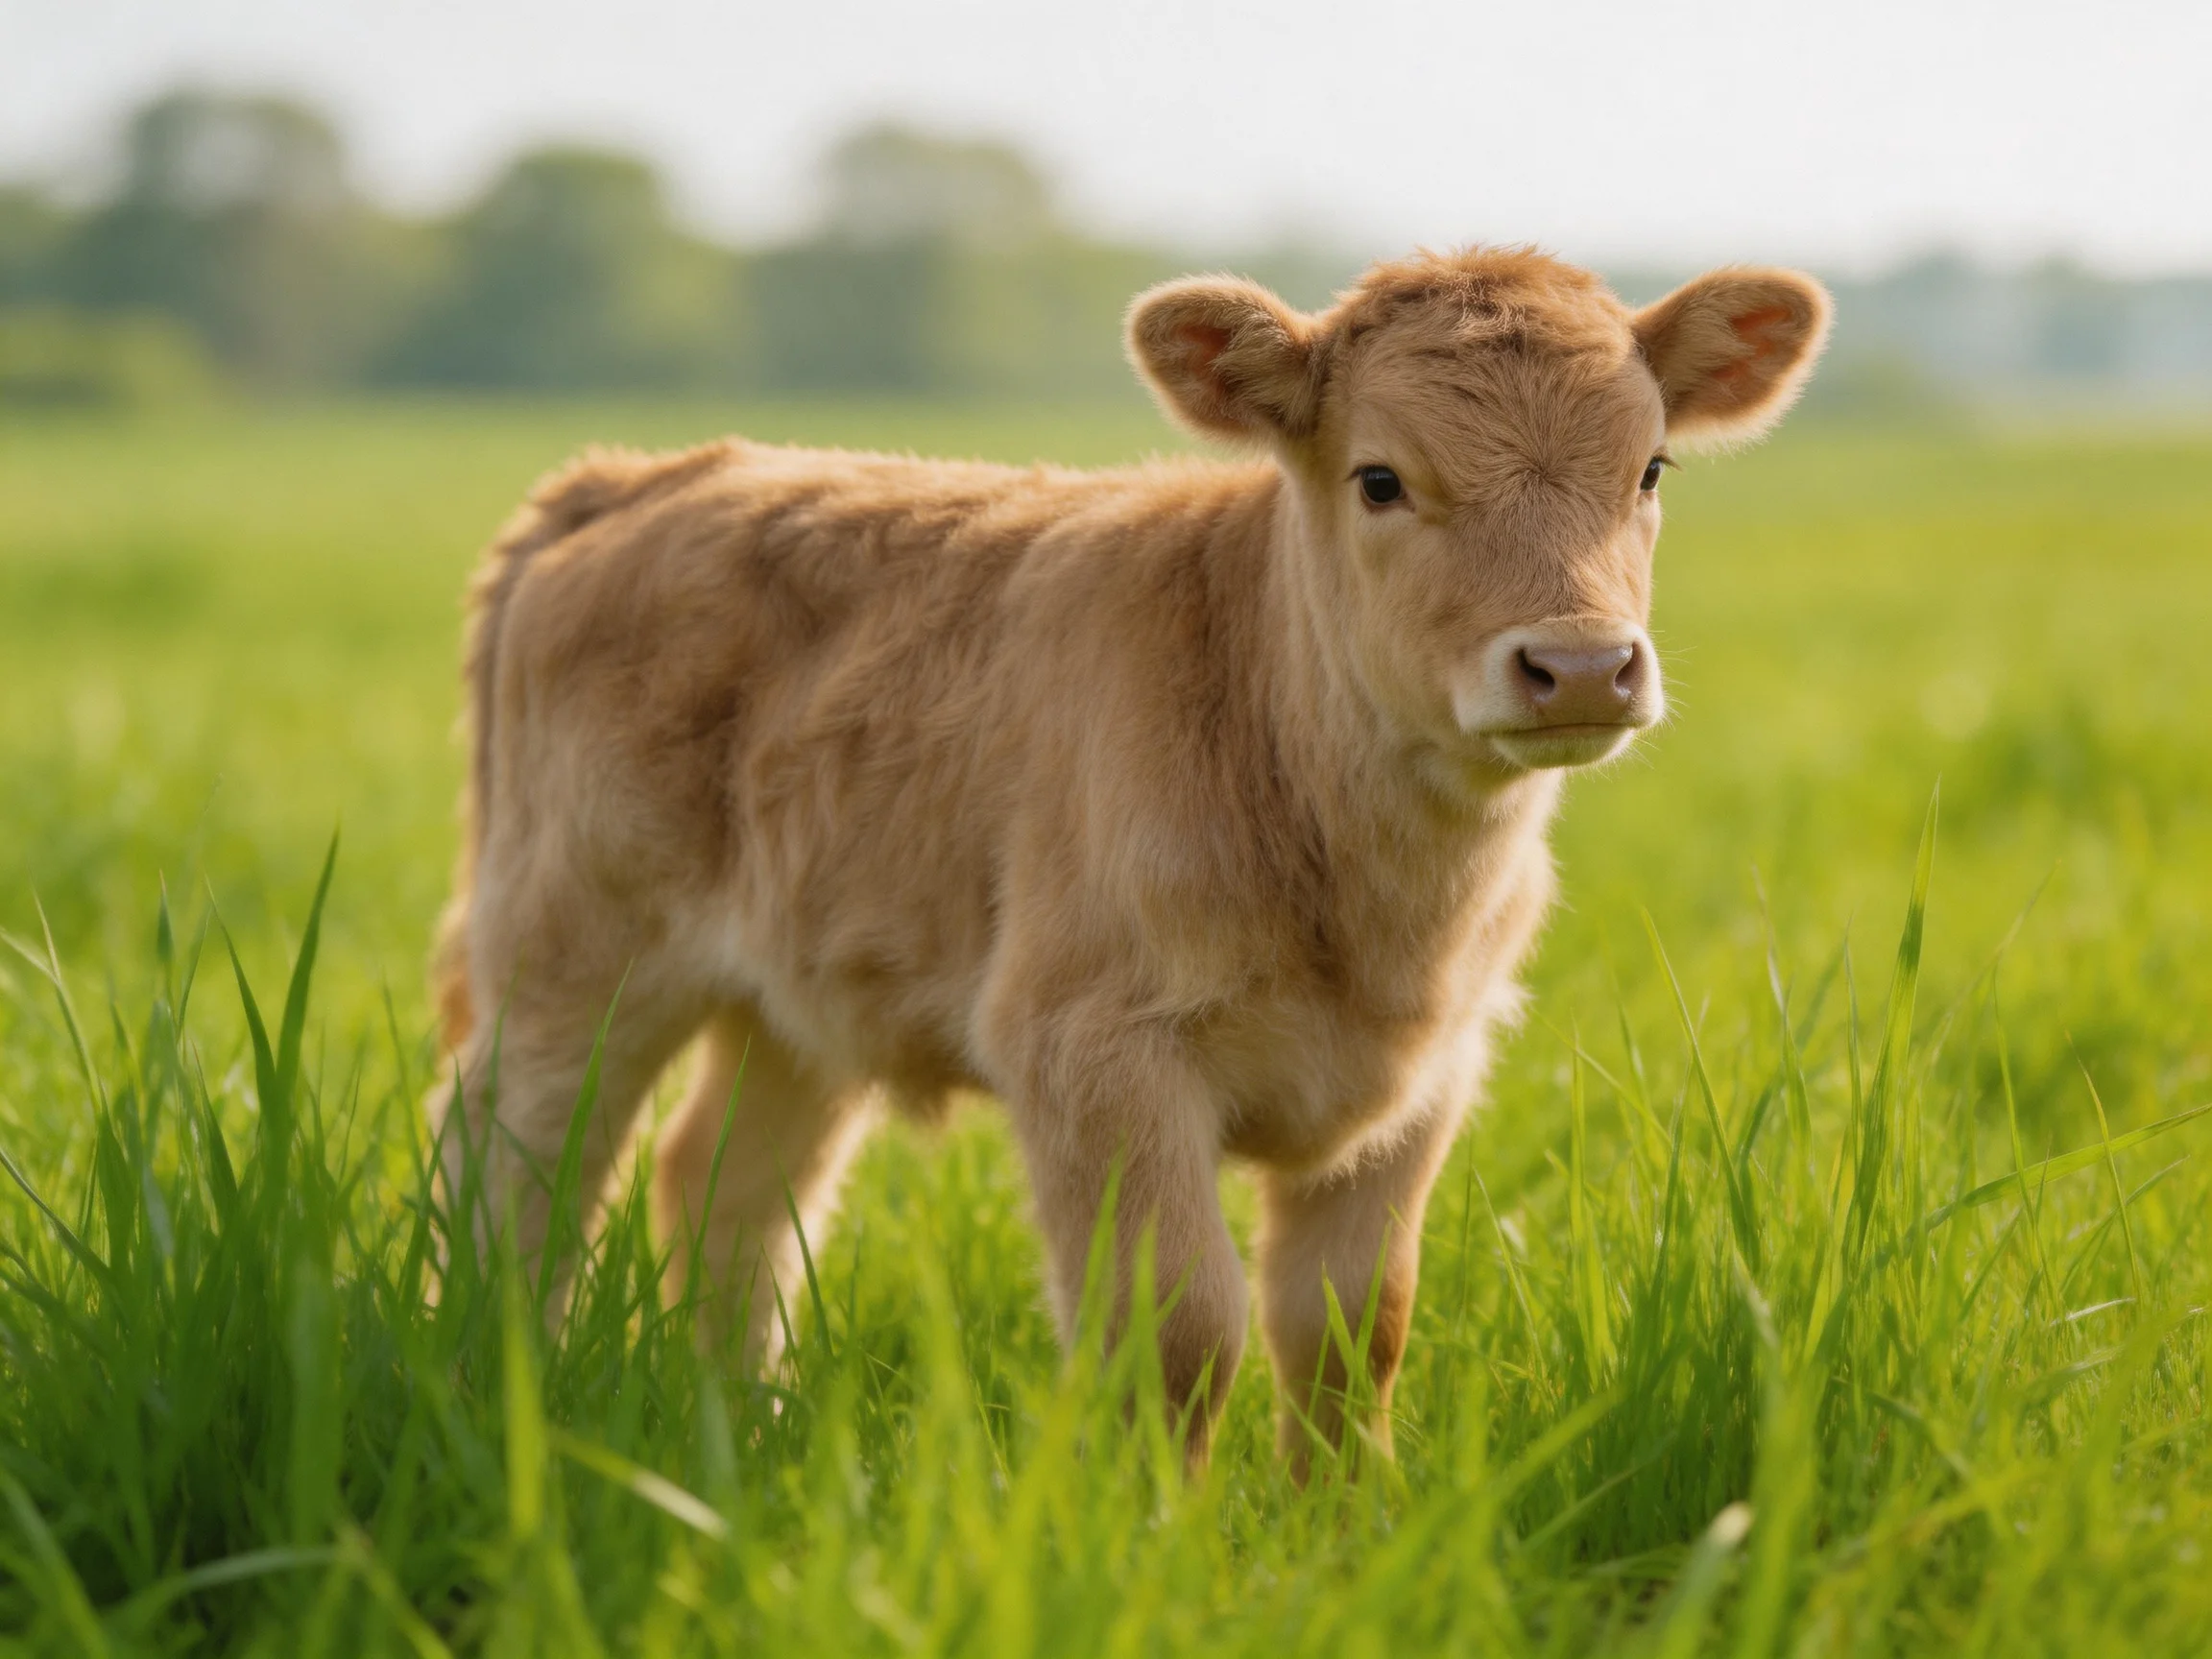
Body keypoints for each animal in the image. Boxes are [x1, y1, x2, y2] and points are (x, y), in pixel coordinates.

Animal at [428, 246, 1829, 1468]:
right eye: (1380, 479)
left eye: (1650, 470)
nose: (1581, 665)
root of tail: (642, 476)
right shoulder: (1090, 1049)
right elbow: (1176, 1330)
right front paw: (1153, 1540)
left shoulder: (1430, 1075)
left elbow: (1351, 1330)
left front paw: (1348, 1535)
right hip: (573, 951)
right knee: (514, 1159)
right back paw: (496, 1387)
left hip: (798, 999)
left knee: (725, 1190)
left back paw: (745, 1431)